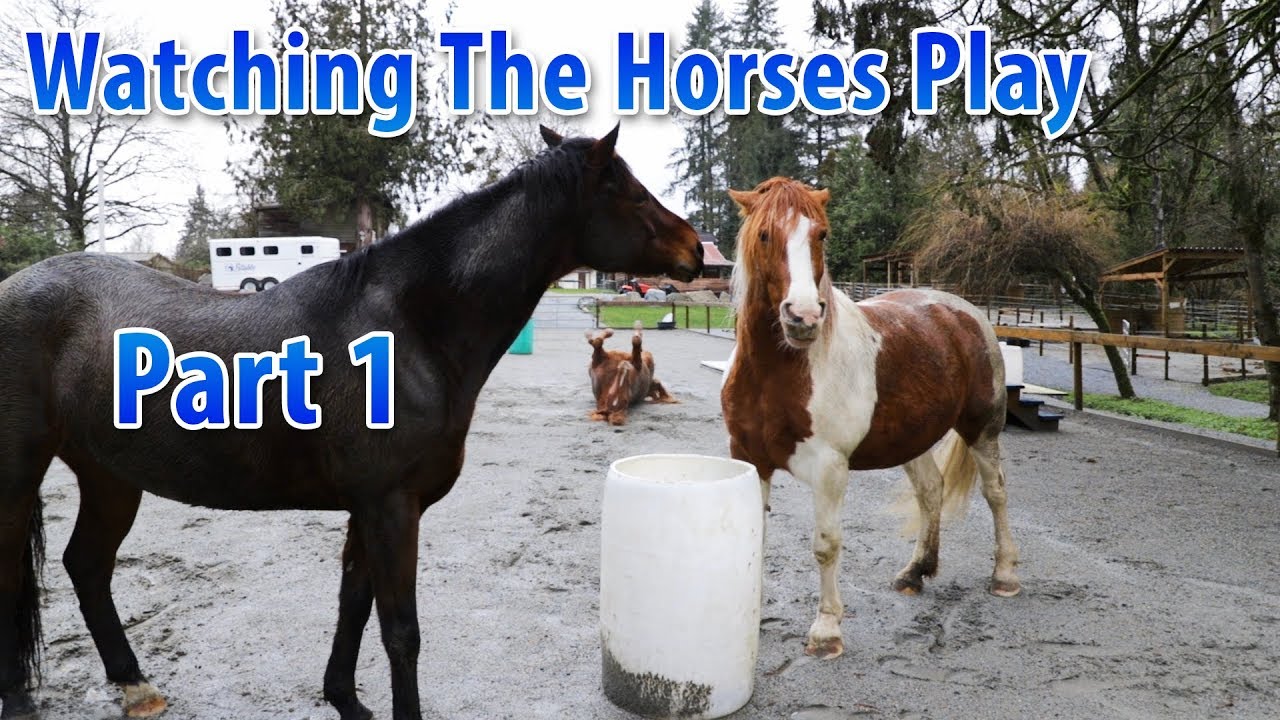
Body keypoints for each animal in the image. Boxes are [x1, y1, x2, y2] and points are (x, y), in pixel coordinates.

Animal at [0, 124, 704, 720]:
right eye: (627, 190)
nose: (697, 249)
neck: (409, 327)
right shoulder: (390, 504)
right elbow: (399, 630)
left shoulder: (371, 506)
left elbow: (354, 604)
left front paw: (345, 700)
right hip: (21, 476)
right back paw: (20, 700)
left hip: (110, 474)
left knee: (87, 565)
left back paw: (135, 686)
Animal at [719, 177, 1020, 661]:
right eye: (764, 235)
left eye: (821, 234)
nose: (803, 316)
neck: (779, 372)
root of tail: (961, 310)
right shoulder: (750, 460)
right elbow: (756, 534)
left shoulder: (829, 469)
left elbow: (826, 546)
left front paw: (826, 631)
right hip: (914, 438)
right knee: (930, 491)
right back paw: (915, 571)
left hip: (982, 429)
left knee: (996, 493)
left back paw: (1005, 575)